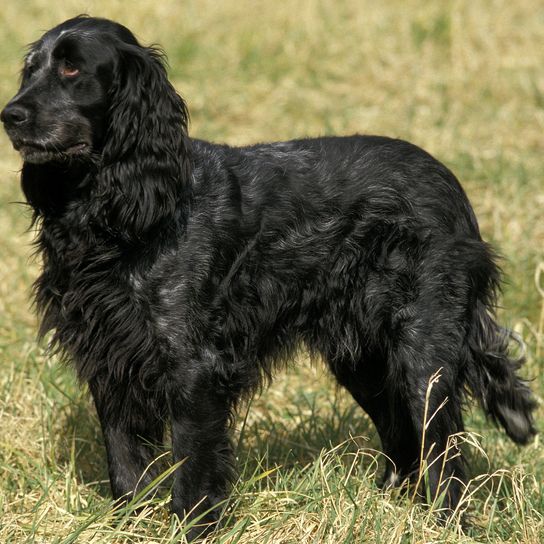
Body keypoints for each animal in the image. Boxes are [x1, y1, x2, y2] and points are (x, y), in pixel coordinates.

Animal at [0, 14, 536, 536]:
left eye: (72, 68)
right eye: (31, 69)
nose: (10, 115)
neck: (127, 213)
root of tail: (453, 188)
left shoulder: (193, 366)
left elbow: (192, 467)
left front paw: (192, 526)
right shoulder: (109, 355)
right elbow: (125, 464)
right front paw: (127, 524)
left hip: (422, 354)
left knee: (442, 453)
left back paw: (447, 525)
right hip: (364, 356)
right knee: (404, 441)